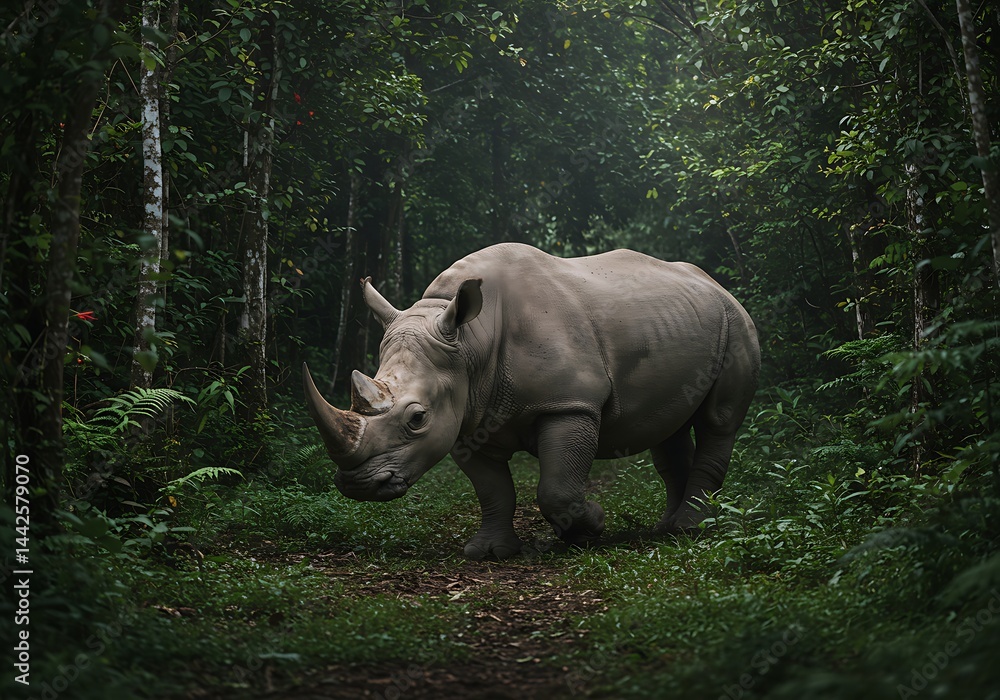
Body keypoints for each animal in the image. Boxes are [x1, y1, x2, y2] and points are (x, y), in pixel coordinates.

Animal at [303, 242, 760, 559]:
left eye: (417, 418)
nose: (358, 485)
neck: (470, 342)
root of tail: (717, 285)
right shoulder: (468, 417)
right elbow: (493, 490)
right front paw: (489, 552)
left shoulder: (569, 404)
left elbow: (555, 488)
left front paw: (589, 528)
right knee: (671, 429)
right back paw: (665, 528)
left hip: (737, 321)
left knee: (718, 421)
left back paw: (688, 529)